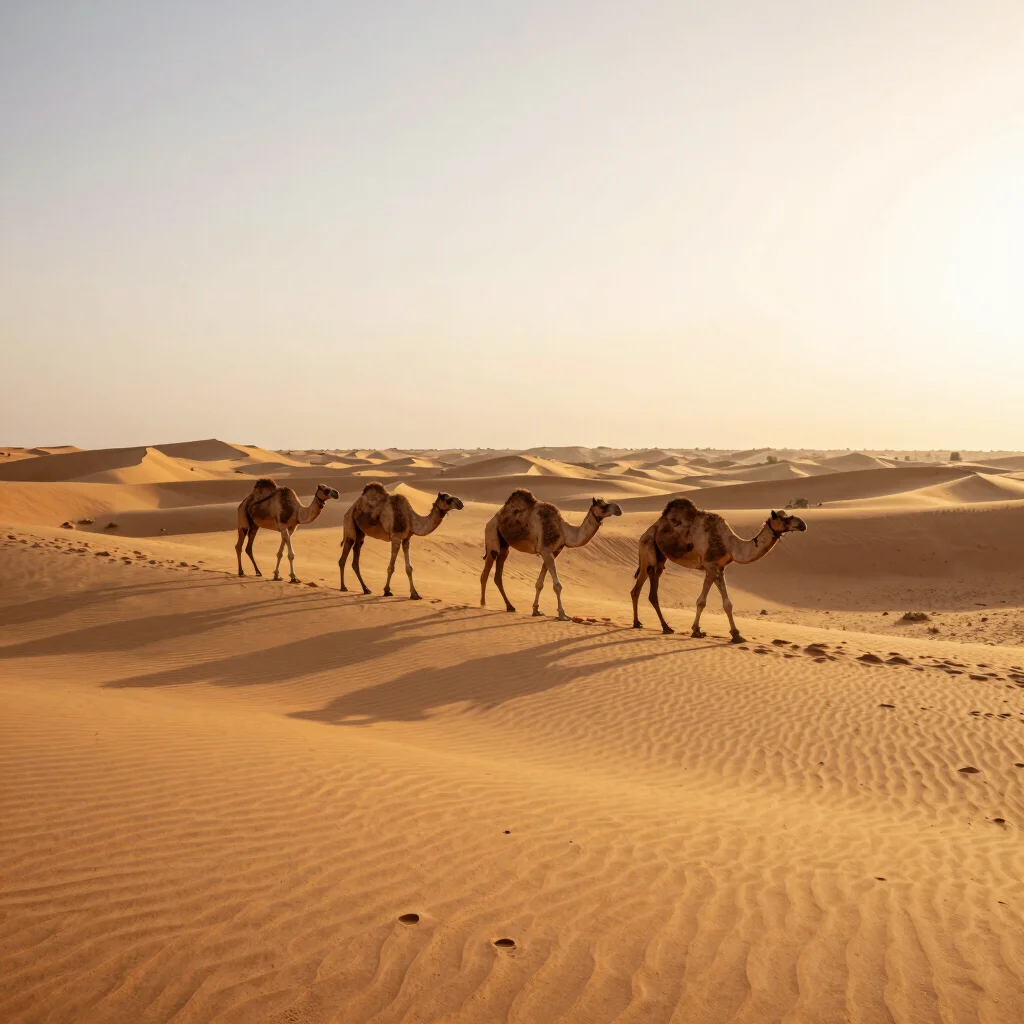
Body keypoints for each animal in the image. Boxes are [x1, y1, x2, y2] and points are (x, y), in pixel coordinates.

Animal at [481, 489, 622, 620]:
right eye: (603, 505)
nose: (619, 509)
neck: (564, 531)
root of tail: (490, 520)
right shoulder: (545, 551)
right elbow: (557, 586)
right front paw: (562, 614)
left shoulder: (553, 552)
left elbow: (540, 584)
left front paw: (536, 610)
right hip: (492, 535)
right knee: (486, 572)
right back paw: (483, 604)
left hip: (504, 544)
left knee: (498, 574)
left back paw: (510, 606)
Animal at [630, 498, 806, 641]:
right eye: (782, 518)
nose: (802, 524)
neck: (730, 544)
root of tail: (648, 530)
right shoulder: (710, 566)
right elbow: (701, 601)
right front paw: (696, 631)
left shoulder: (720, 569)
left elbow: (727, 604)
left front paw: (736, 635)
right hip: (647, 551)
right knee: (638, 588)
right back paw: (640, 623)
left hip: (660, 558)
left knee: (652, 591)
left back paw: (662, 626)